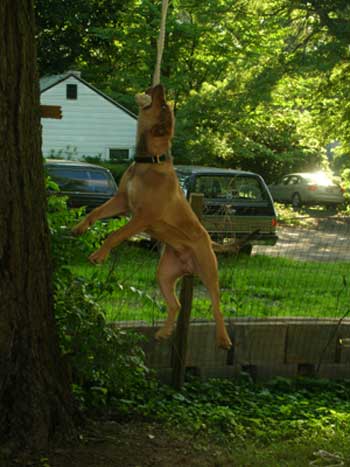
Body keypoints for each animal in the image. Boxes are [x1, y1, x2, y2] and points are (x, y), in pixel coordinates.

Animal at [72, 84, 232, 350]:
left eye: (163, 104)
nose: (161, 85)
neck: (148, 162)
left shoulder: (142, 217)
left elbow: (115, 235)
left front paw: (99, 255)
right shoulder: (121, 200)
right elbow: (96, 211)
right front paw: (80, 227)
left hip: (209, 271)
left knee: (216, 306)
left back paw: (223, 339)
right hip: (164, 273)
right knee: (176, 304)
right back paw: (164, 332)